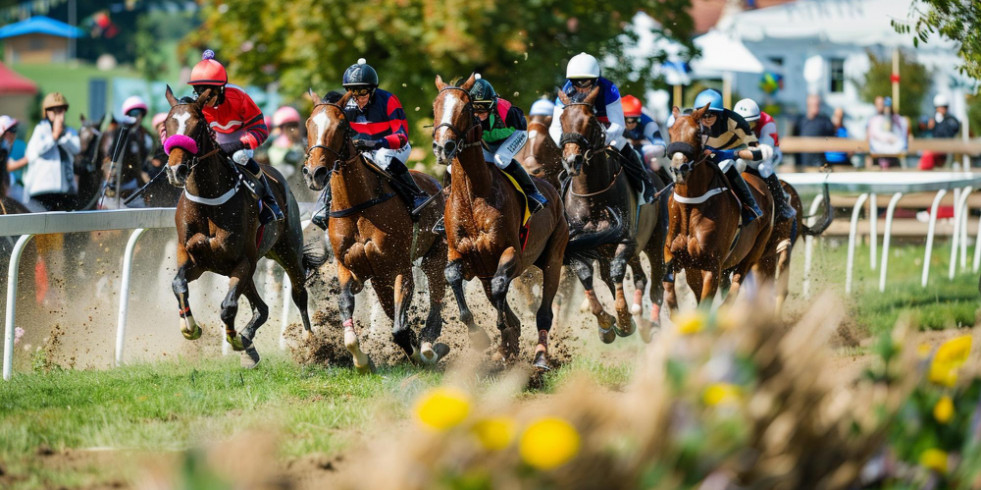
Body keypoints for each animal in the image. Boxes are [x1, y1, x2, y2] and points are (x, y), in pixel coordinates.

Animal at [165, 85, 322, 368]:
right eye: (167, 125)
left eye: (198, 125)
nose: (176, 170)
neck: (209, 201)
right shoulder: (195, 258)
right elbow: (178, 284)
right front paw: (191, 328)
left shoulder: (242, 261)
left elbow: (228, 306)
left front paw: (236, 340)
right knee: (262, 308)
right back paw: (249, 341)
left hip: (287, 251)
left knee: (298, 294)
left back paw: (309, 342)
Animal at [302, 89, 448, 372]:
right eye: (308, 124)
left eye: (341, 125)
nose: (315, 173)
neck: (358, 205)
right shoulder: (348, 266)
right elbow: (346, 304)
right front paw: (361, 360)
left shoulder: (400, 266)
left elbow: (399, 328)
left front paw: (416, 354)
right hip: (380, 277)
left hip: (435, 256)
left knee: (436, 297)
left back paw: (429, 346)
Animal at [434, 73, 616, 368]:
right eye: (436, 107)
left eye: (464, 108)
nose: (443, 146)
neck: (474, 194)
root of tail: (554, 191)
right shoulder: (460, 253)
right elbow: (453, 276)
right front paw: (482, 337)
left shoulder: (513, 254)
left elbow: (502, 289)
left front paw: (499, 330)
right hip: (488, 268)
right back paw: (506, 349)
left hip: (553, 259)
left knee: (545, 312)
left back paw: (540, 356)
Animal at [560, 86, 668, 342]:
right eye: (561, 120)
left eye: (589, 120)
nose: (572, 161)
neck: (591, 197)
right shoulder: (578, 246)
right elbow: (586, 276)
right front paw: (606, 323)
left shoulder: (626, 240)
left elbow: (618, 272)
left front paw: (625, 320)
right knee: (631, 277)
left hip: (654, 240)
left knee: (656, 283)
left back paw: (651, 324)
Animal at [668, 104, 772, 310]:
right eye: (670, 132)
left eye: (697, 134)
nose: (679, 169)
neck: (690, 206)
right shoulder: (674, 258)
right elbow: (669, 297)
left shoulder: (712, 267)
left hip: (752, 253)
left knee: (735, 288)